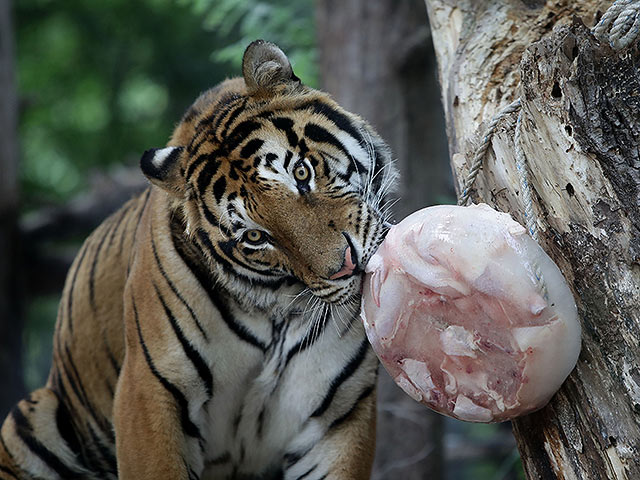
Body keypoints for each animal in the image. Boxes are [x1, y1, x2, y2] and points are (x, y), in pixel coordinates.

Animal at [0, 39, 398, 478]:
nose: (345, 265)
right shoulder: (149, 392)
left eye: (302, 172)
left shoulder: (337, 414)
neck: (277, 311)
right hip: (30, 417)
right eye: (255, 236)